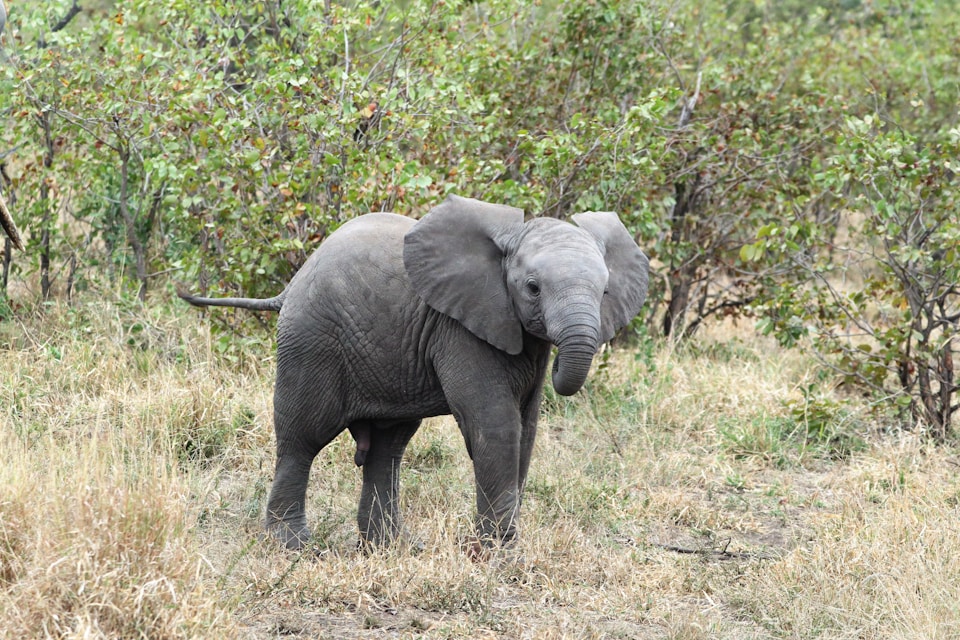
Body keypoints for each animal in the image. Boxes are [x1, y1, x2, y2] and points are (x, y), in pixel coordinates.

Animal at [177, 196, 648, 556]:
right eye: (532, 287)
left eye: (606, 292)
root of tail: (292, 284)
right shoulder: (459, 328)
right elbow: (496, 426)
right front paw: (499, 557)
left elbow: (527, 431)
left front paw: (499, 549)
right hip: (310, 341)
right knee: (302, 438)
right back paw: (294, 548)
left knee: (388, 448)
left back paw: (390, 548)